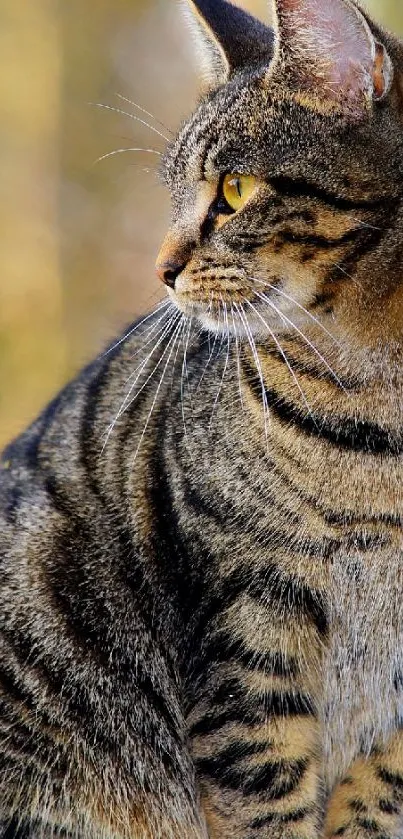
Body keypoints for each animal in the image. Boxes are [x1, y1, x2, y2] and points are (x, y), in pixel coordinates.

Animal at [0, 0, 403, 836]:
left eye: (236, 189)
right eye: (176, 193)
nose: (159, 268)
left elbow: (375, 794)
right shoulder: (246, 614)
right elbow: (263, 799)